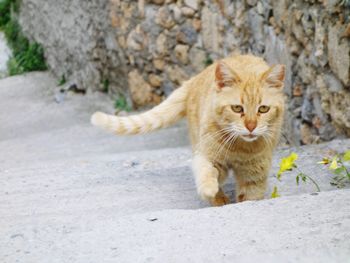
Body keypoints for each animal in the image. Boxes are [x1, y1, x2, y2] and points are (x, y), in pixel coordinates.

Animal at [91, 55, 286, 206]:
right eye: (237, 108)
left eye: (263, 109)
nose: (251, 126)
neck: (240, 147)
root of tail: (196, 77)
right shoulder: (206, 155)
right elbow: (207, 172)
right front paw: (211, 191)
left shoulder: (254, 175)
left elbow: (250, 197)